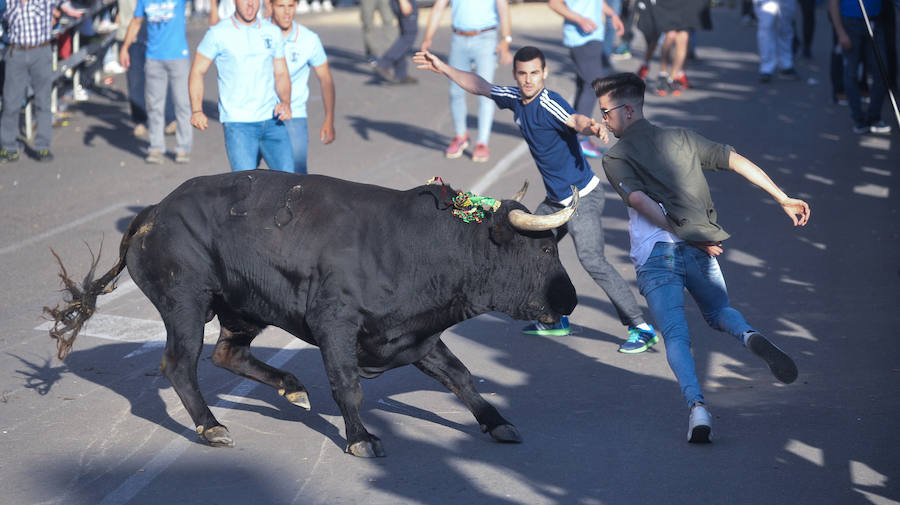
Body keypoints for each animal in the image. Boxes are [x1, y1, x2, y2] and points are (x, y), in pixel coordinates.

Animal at [45, 170, 576, 456]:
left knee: (226, 354)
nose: (570, 300)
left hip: (243, 307)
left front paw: (496, 421)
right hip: (186, 304)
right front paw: (361, 438)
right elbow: (348, 386)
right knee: (180, 363)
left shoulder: (414, 334)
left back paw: (290, 387)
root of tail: (154, 210)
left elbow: (461, 377)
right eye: (545, 249)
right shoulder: (335, 323)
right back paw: (213, 426)